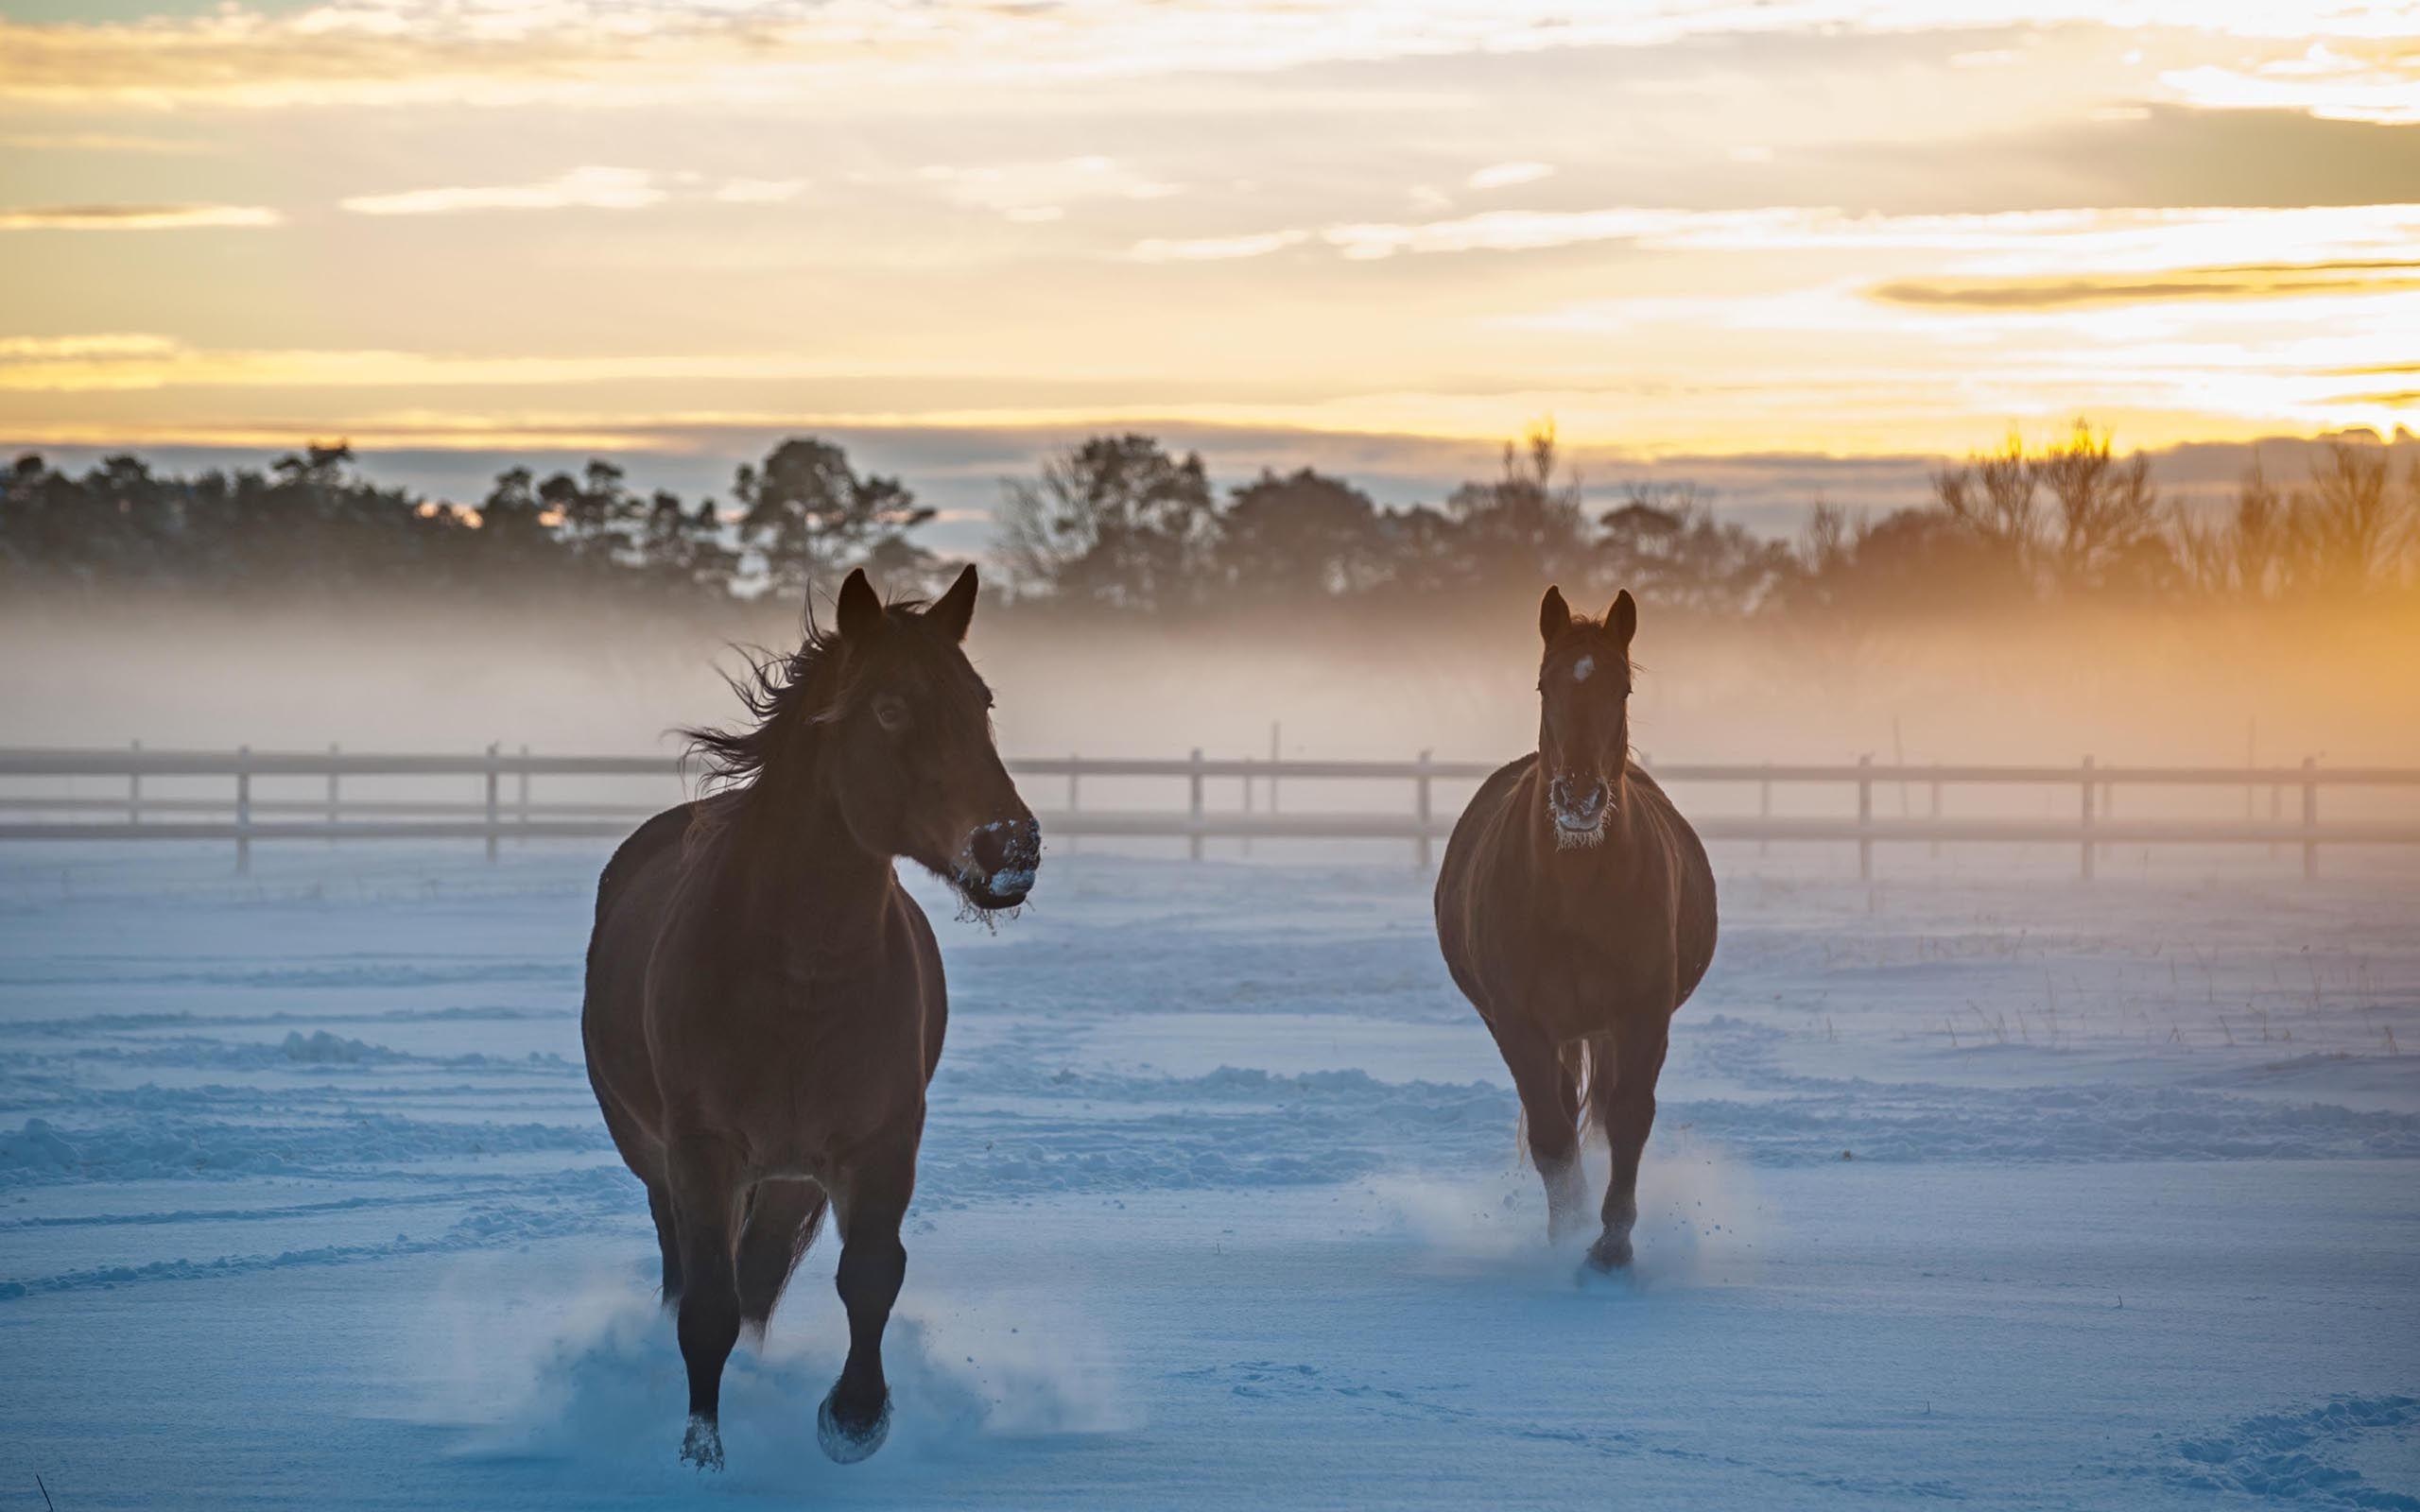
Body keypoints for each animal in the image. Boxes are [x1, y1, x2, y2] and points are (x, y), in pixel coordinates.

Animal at [590, 563, 1045, 1461]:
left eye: (981, 703)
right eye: (891, 707)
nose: (1010, 847)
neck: (802, 982)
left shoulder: (879, 1145)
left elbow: (868, 1275)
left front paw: (854, 1417)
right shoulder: (704, 1152)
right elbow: (707, 1307)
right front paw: (701, 1450)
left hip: (788, 1180)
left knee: (760, 1280)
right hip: (659, 1156)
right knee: (686, 1271)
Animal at [1432, 582, 1722, 1267]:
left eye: (1623, 689)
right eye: (1545, 685)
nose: (1580, 799)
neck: (1572, 897)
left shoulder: (1642, 1015)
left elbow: (1628, 1119)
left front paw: (1612, 1245)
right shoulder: (1518, 1023)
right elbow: (1551, 1133)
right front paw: (1568, 1235)